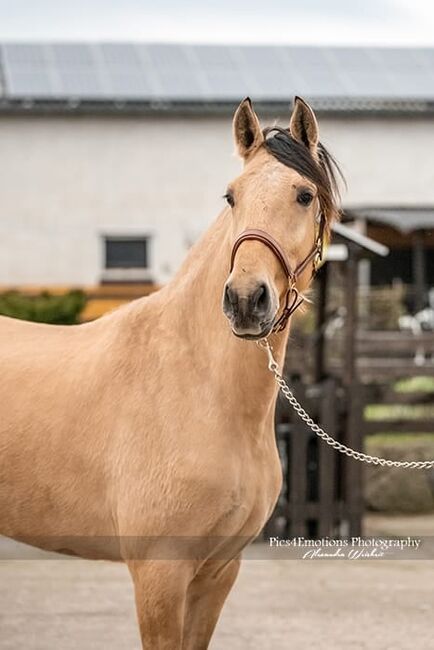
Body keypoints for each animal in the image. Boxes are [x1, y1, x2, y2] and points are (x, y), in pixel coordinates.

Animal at [0, 97, 342, 648]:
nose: (245, 300)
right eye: (231, 196)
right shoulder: (159, 574)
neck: (200, 388)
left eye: (304, 194)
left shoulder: (218, 572)